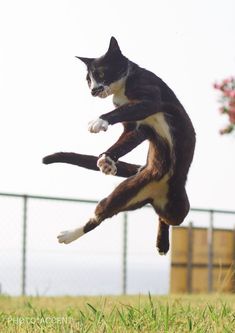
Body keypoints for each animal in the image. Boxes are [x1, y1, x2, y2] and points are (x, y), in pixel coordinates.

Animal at [43, 36, 196, 253]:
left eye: (100, 73)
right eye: (88, 80)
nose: (92, 90)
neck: (122, 88)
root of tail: (154, 195)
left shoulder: (148, 100)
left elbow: (121, 111)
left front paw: (99, 121)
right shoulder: (137, 128)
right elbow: (123, 143)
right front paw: (106, 160)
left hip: (179, 208)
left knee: (167, 218)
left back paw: (162, 243)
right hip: (126, 193)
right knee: (100, 214)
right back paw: (69, 235)